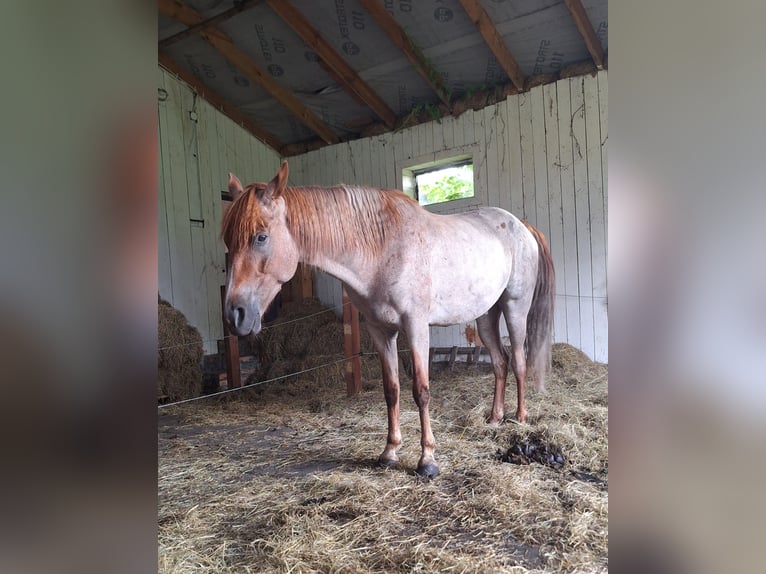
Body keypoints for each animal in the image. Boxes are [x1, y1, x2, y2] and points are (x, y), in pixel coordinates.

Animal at [222, 162, 555, 479]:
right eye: (227, 241)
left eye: (261, 237)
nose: (235, 315)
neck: (383, 248)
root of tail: (521, 226)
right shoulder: (380, 331)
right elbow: (391, 390)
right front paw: (389, 452)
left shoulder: (416, 326)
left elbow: (421, 390)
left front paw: (427, 460)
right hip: (486, 316)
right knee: (499, 362)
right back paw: (495, 419)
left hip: (514, 308)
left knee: (519, 362)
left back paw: (520, 420)